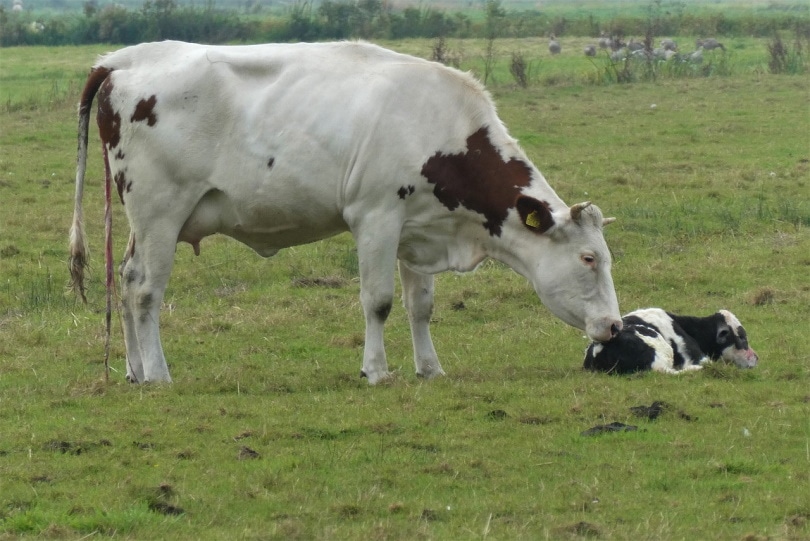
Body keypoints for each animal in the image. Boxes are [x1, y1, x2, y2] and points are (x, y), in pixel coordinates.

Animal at [71, 42, 624, 384]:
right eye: (589, 259)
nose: (617, 327)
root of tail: (123, 60)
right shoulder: (376, 216)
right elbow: (377, 301)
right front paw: (376, 370)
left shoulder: (418, 229)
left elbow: (420, 305)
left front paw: (430, 368)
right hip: (159, 212)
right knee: (145, 290)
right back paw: (158, 374)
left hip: (144, 222)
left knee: (126, 279)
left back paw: (135, 370)